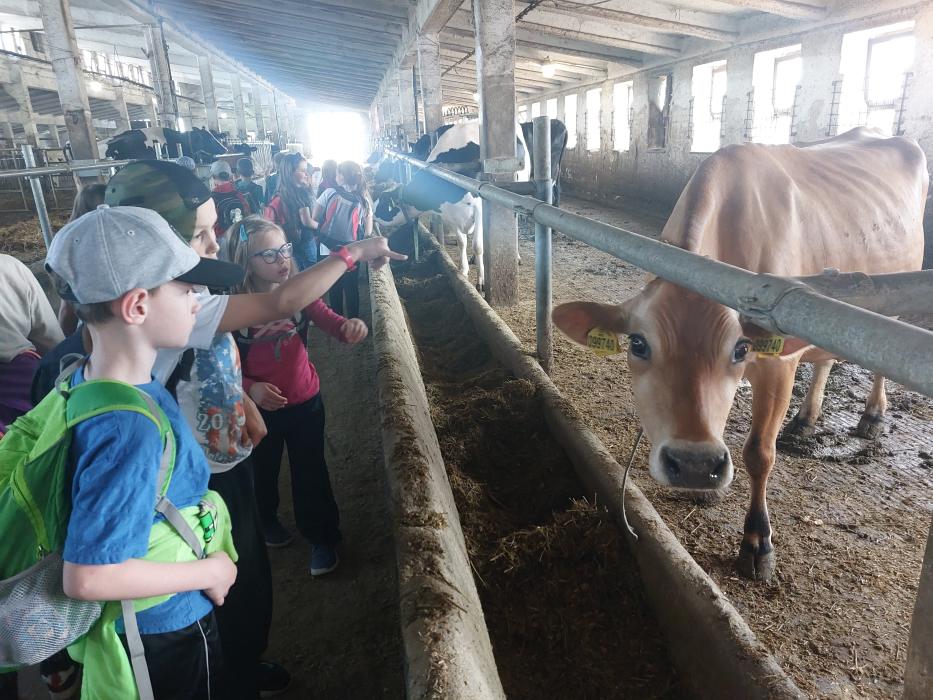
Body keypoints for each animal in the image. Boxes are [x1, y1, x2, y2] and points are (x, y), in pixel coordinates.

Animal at [552, 128, 927, 582]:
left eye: (742, 347)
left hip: (894, 297)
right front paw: (704, 490)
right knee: (825, 357)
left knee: (880, 360)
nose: (694, 465)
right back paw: (805, 420)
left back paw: (872, 416)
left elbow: (759, 453)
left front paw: (757, 541)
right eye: (638, 344)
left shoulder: (778, 364)